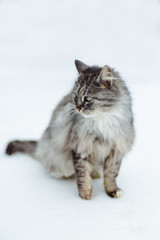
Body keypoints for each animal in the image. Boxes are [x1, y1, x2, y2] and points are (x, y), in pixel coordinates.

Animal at [5, 60, 135, 201]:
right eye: (76, 97)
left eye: (88, 99)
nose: (77, 108)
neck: (102, 120)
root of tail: (40, 145)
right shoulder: (80, 148)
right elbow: (83, 176)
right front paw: (85, 196)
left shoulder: (116, 149)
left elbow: (111, 175)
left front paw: (112, 191)